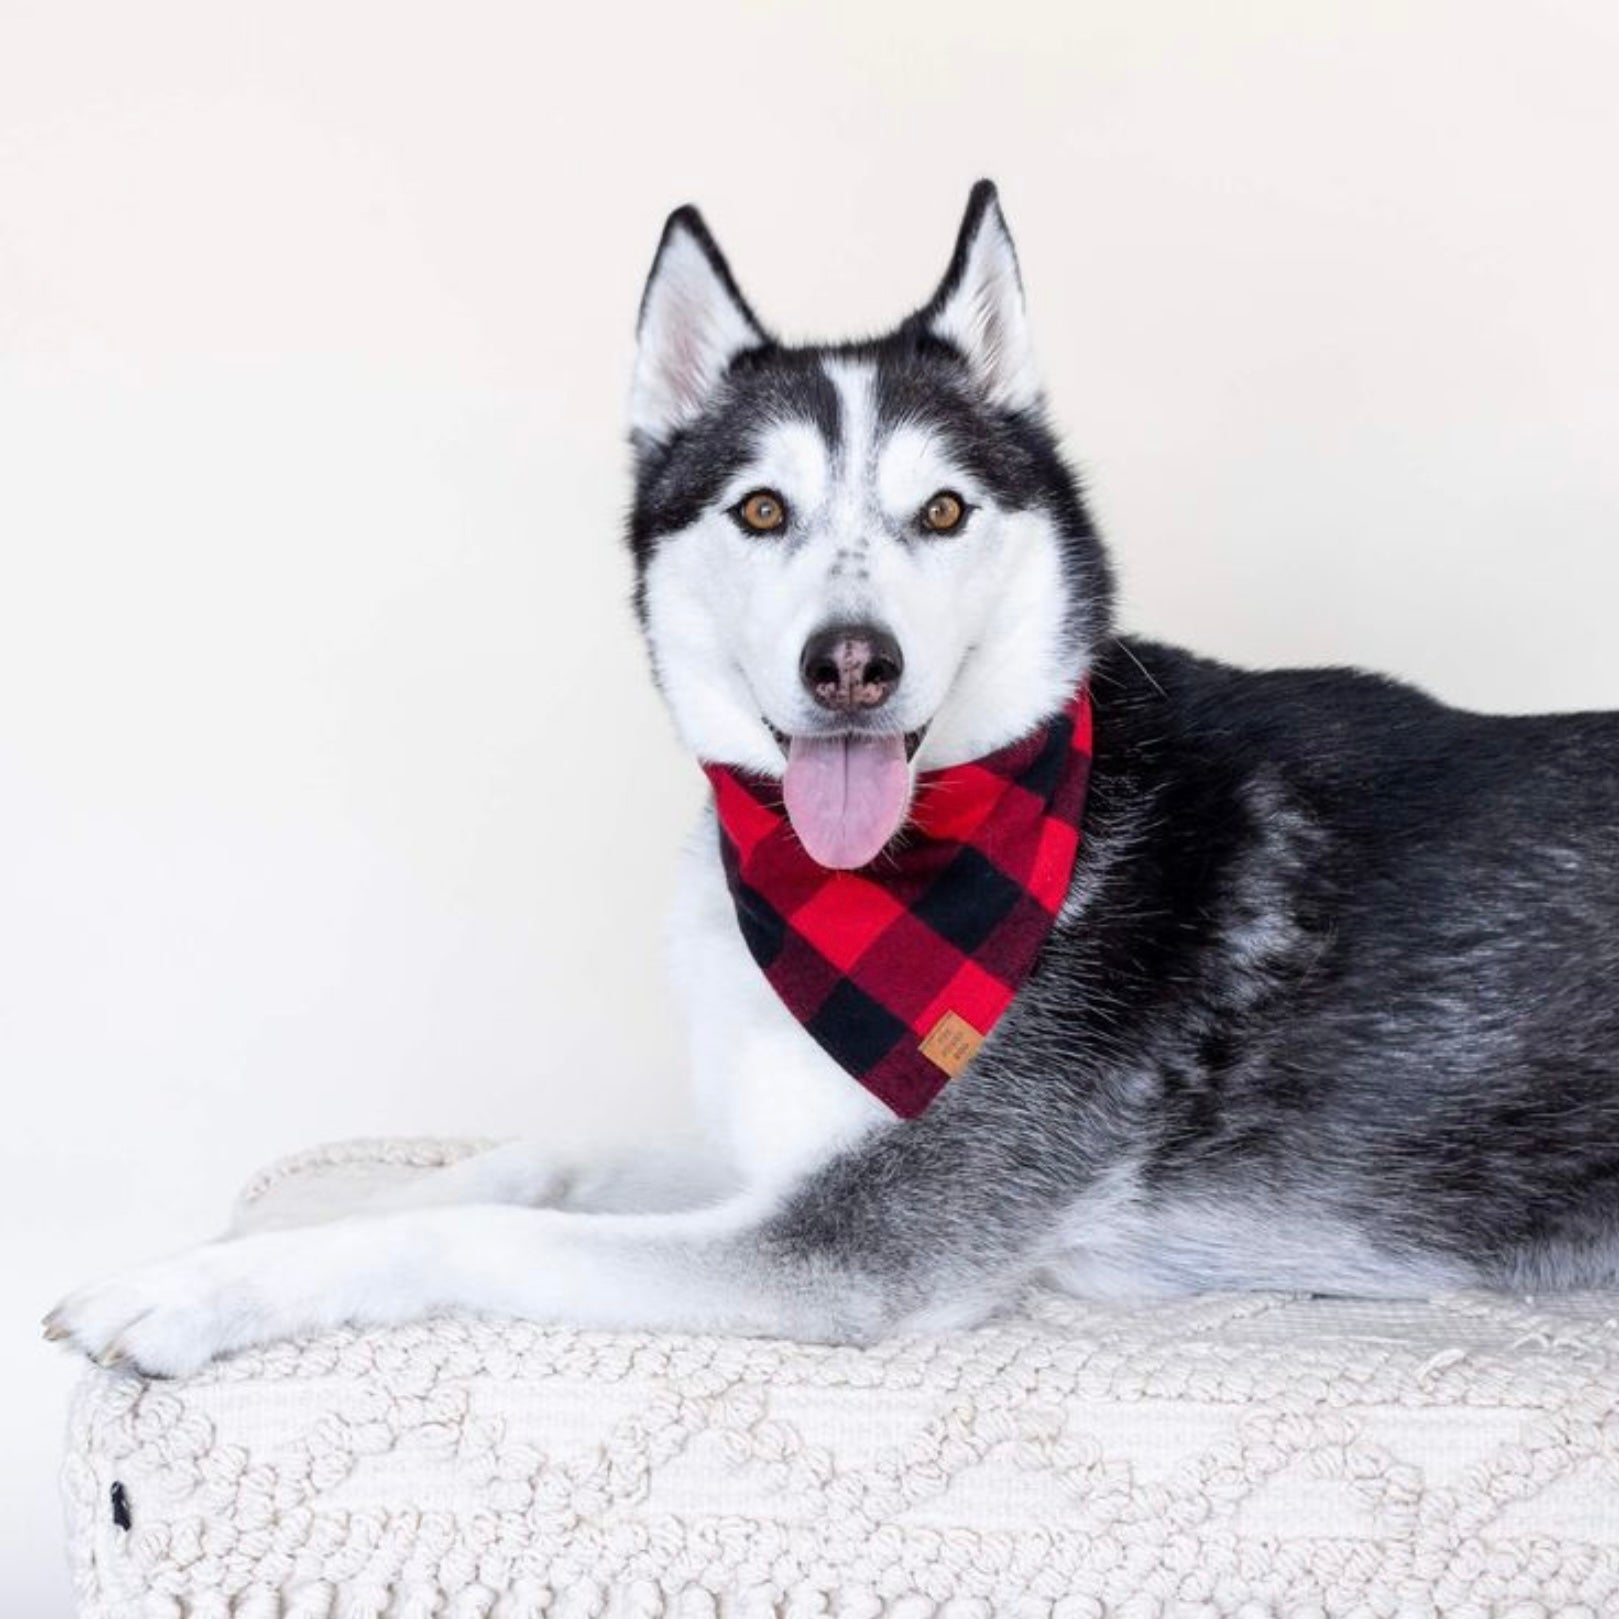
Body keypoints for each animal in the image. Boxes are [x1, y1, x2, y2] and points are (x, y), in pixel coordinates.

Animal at [44, 180, 1619, 1379]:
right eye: (759, 508)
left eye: (942, 510)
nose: (848, 663)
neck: (868, 886)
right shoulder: (764, 1156)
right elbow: (527, 1160)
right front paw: (262, 1223)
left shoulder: (842, 1243)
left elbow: (475, 1230)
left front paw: (196, 1289)